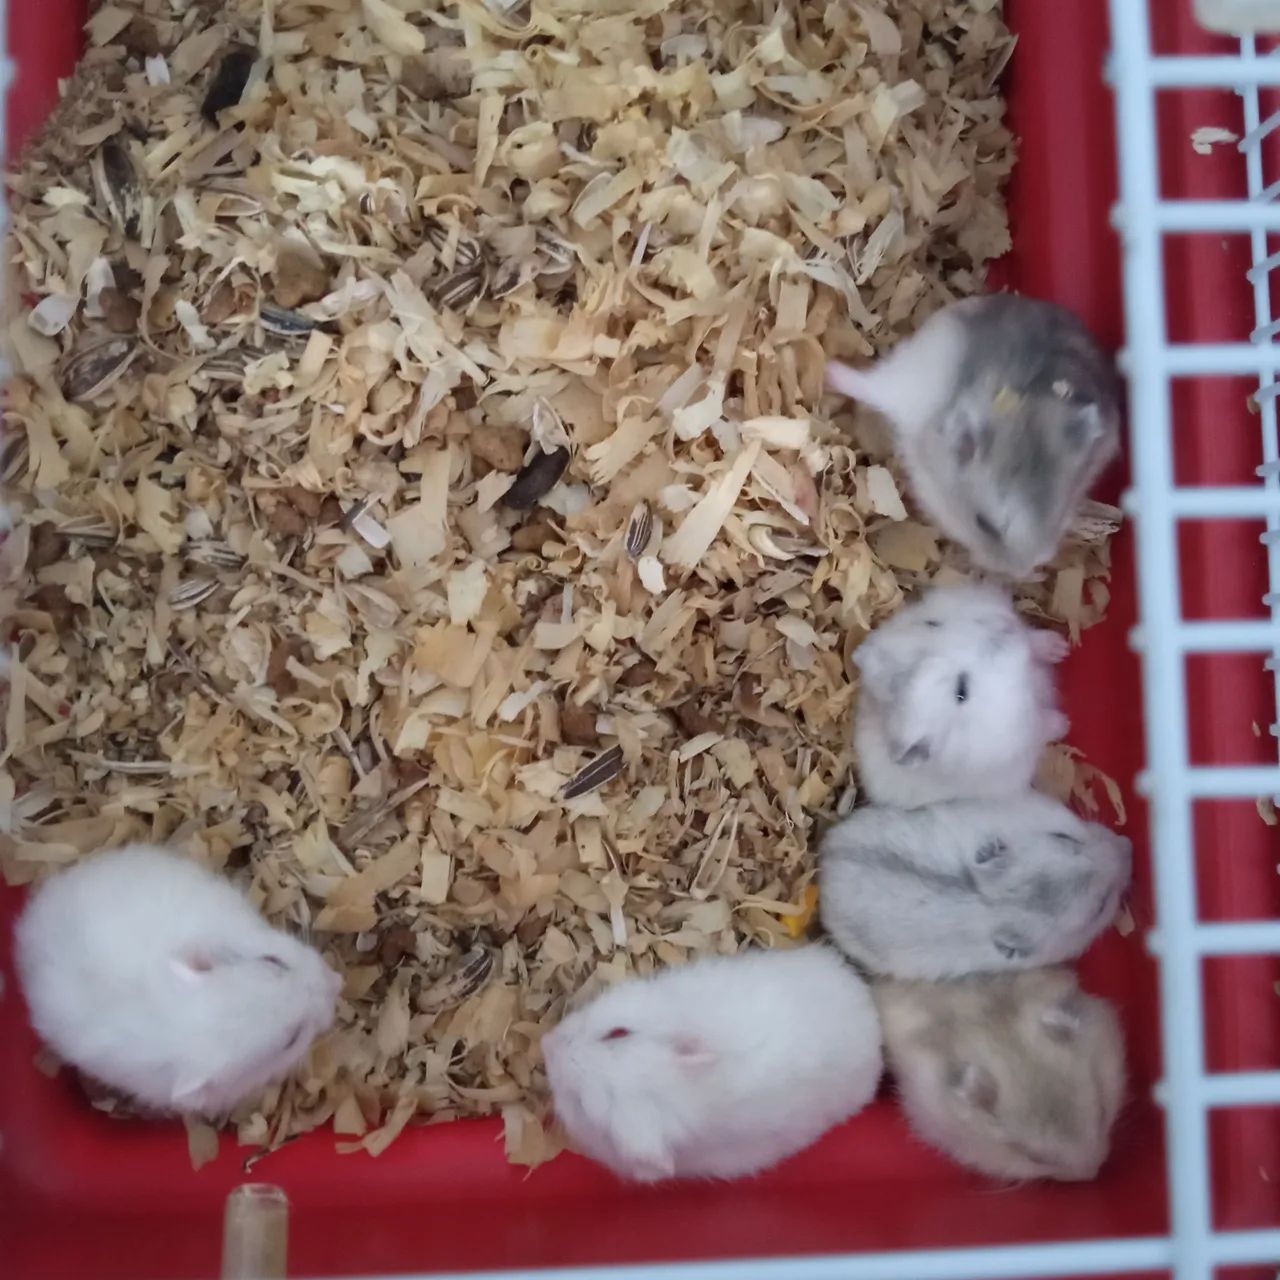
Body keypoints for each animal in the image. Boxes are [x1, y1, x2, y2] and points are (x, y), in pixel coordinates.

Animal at [852, 581, 1069, 808]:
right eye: (961, 692)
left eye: (933, 623)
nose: (1006, 626)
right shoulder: (1018, 732)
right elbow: (1042, 725)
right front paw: (1066, 723)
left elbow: (1031, 641)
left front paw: (1061, 648)